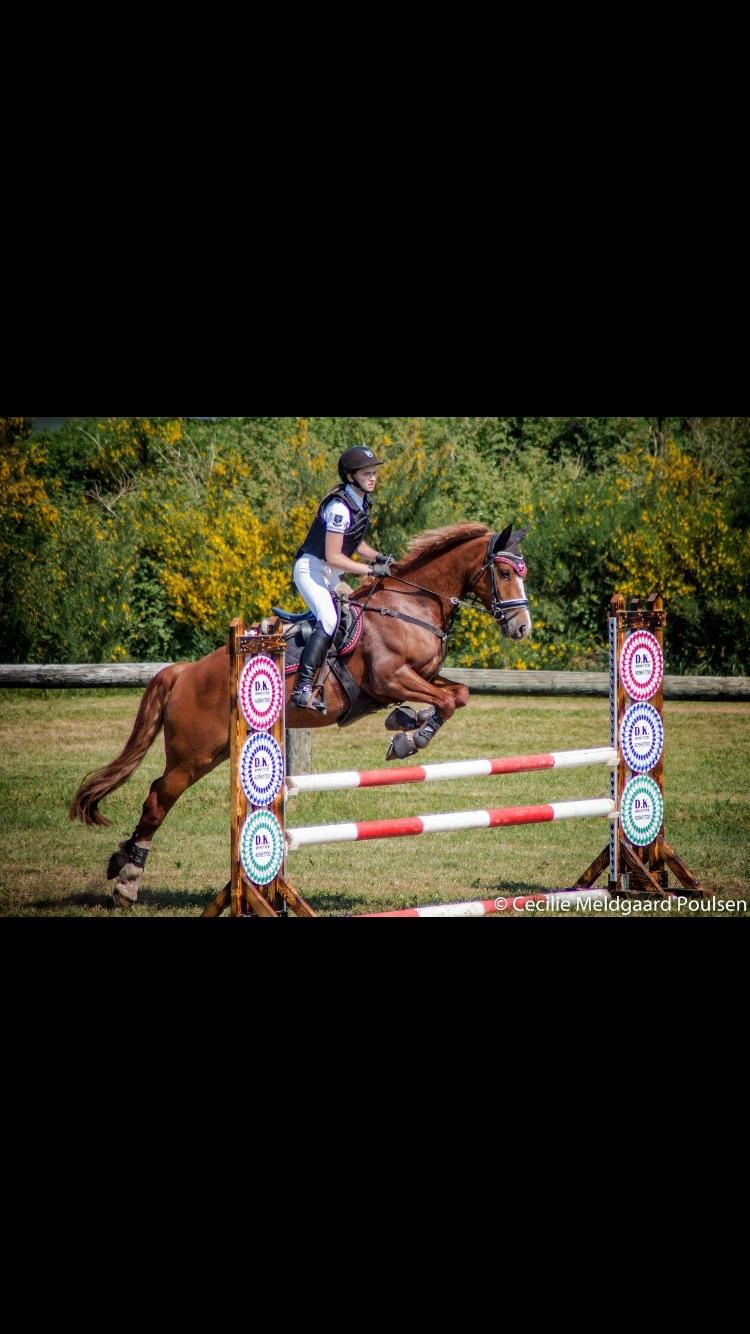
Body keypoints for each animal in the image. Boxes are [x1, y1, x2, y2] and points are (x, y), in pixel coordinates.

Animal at [68, 520, 525, 907]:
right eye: (504, 573)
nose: (522, 628)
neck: (409, 606)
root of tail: (184, 672)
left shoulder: (424, 676)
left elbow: (458, 694)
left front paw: (407, 725)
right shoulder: (390, 679)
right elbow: (445, 702)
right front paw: (408, 735)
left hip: (215, 752)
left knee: (159, 795)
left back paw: (121, 863)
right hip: (191, 756)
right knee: (157, 798)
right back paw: (127, 882)